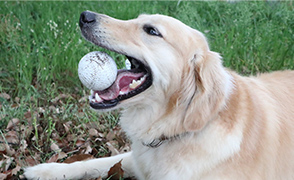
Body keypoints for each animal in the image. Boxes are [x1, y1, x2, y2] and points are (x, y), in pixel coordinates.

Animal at [24, 11, 294, 180]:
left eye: (151, 31)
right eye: (137, 19)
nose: (85, 16)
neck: (177, 129)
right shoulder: (134, 158)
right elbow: (94, 162)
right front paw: (45, 171)